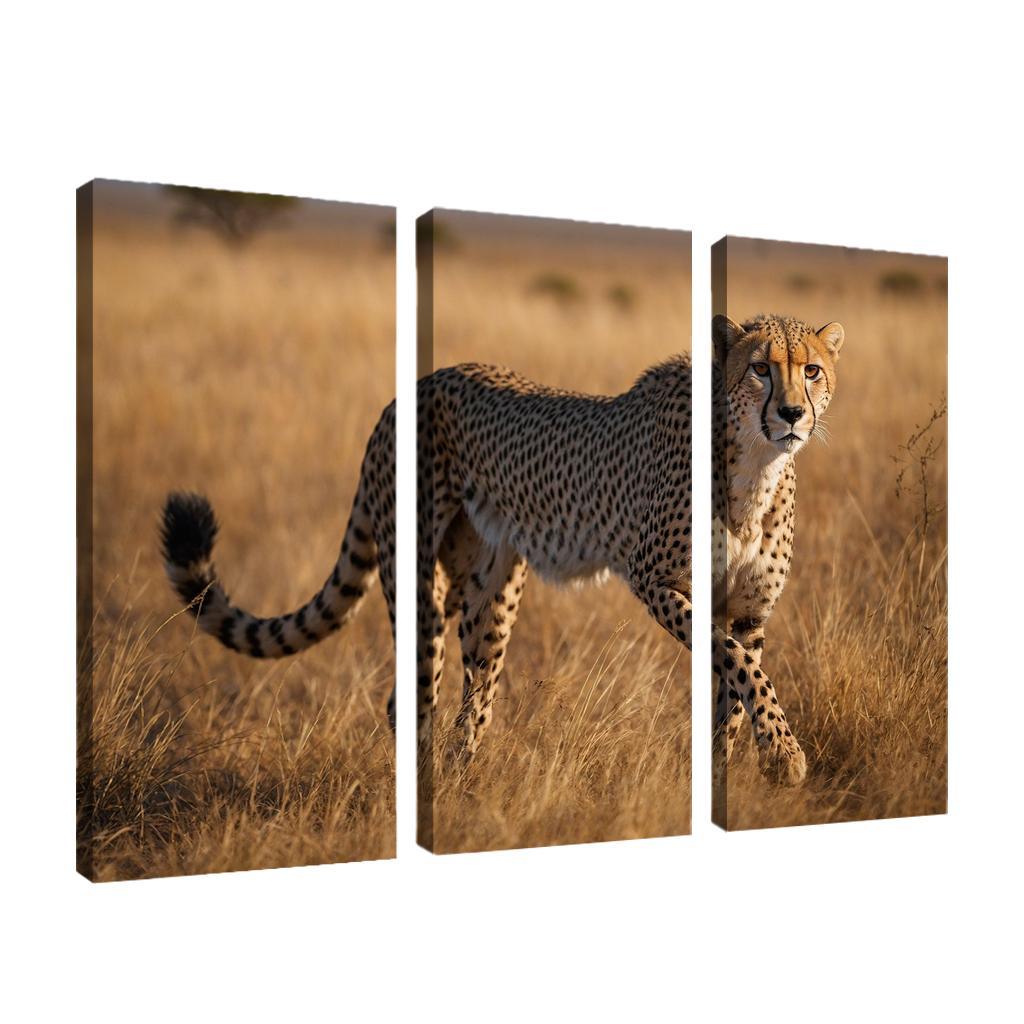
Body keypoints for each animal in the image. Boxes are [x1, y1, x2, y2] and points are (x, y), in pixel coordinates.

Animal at [712, 313, 845, 790]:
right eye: (760, 369)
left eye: (812, 370)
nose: (792, 414)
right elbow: (740, 666)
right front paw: (783, 753)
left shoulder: (749, 614)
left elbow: (738, 686)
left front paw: (721, 768)